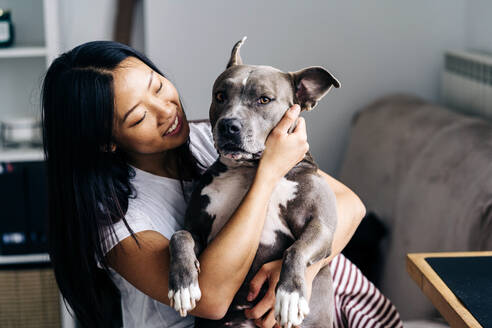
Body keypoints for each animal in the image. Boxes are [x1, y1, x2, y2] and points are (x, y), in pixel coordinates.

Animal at [167, 37, 340, 328]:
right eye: (220, 96)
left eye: (264, 99)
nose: (229, 125)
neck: (250, 171)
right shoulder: (199, 231)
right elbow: (179, 236)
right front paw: (183, 285)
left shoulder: (321, 226)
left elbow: (295, 250)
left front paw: (289, 295)